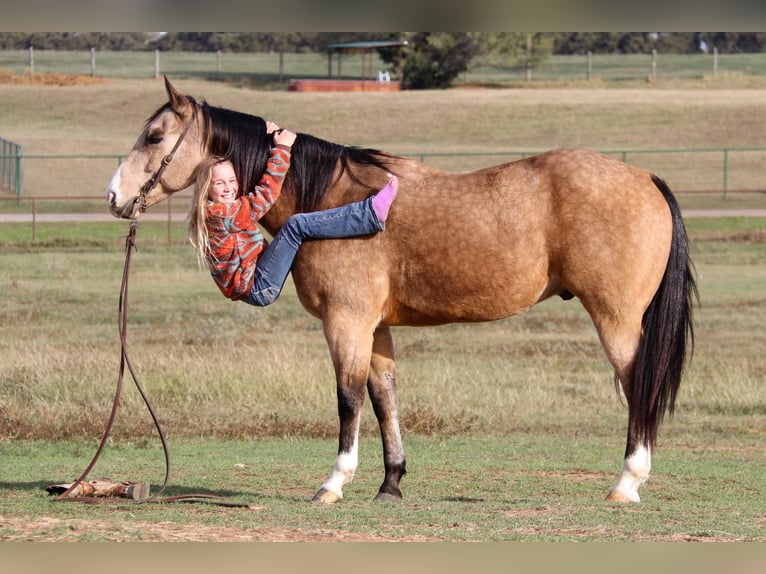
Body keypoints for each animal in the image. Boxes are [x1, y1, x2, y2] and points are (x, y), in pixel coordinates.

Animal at [105, 77, 700, 504]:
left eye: (154, 137)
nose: (114, 197)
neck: (327, 196)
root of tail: (644, 178)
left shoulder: (346, 323)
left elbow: (347, 399)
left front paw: (334, 483)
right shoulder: (377, 328)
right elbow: (383, 397)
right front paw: (391, 482)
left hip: (616, 321)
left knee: (639, 389)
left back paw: (627, 483)